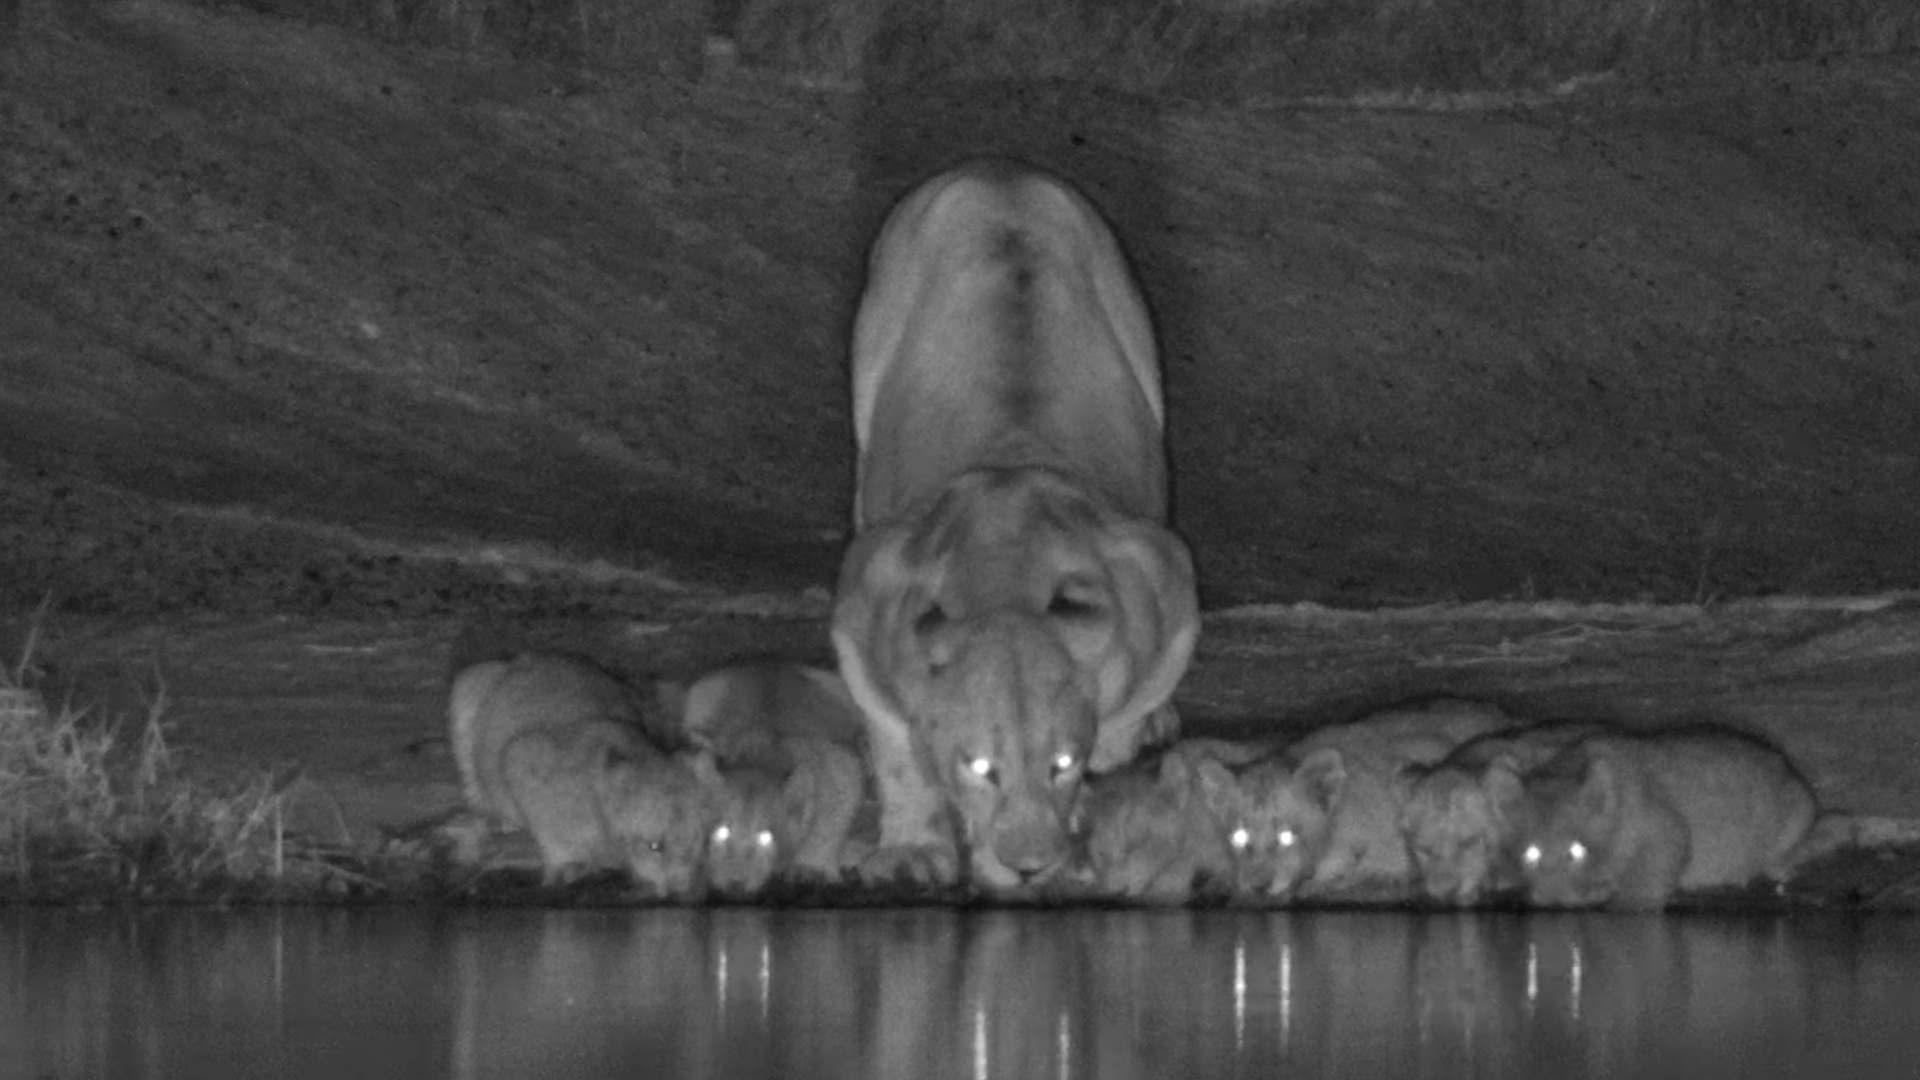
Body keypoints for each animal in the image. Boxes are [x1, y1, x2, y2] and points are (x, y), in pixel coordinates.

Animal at [830, 159, 1200, 889]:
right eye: (980, 767)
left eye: (1061, 765)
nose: (1027, 868)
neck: (1003, 559)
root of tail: (998, 172)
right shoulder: (865, 595)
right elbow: (897, 748)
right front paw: (912, 853)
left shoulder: (1161, 574)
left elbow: (1132, 704)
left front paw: (1109, 773)